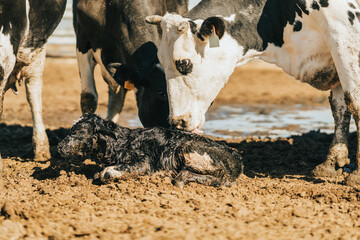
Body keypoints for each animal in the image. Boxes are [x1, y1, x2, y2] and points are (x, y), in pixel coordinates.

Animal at [57, 113, 243, 187]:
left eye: (78, 131)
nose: (59, 147)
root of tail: (237, 159)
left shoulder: (145, 162)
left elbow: (108, 173)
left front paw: (107, 173)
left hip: (189, 149)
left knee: (225, 180)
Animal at [144, 0, 360, 186]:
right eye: (161, 61)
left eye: (184, 63)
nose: (176, 121)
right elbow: (339, 106)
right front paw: (332, 163)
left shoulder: (343, 32)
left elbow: (354, 99)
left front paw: (356, 175)